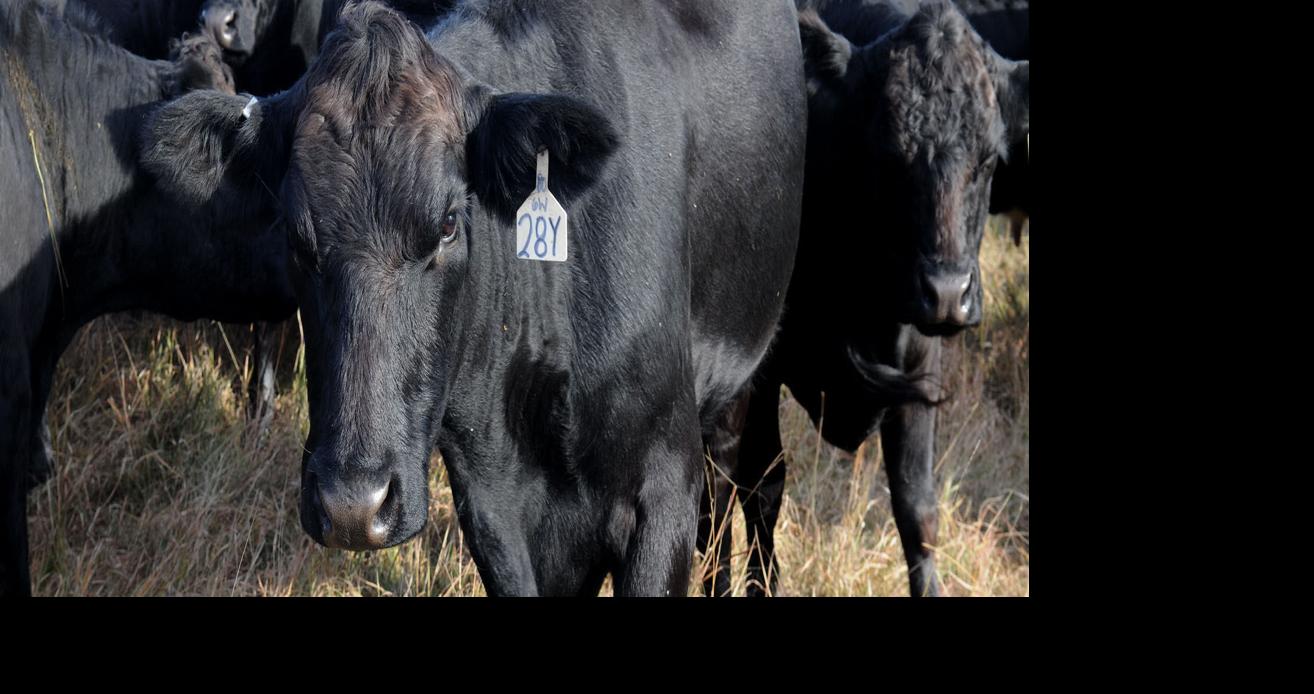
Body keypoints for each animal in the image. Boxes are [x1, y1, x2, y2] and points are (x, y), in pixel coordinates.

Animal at [139, 0, 807, 596]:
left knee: (743, 484)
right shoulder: (490, 508)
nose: (352, 506)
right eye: (295, 236)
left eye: (447, 224)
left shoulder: (663, 488)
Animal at [696, 0, 1029, 597]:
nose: (948, 291)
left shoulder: (923, 367)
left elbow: (917, 508)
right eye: (890, 157)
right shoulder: (754, 373)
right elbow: (756, 487)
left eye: (989, 161)